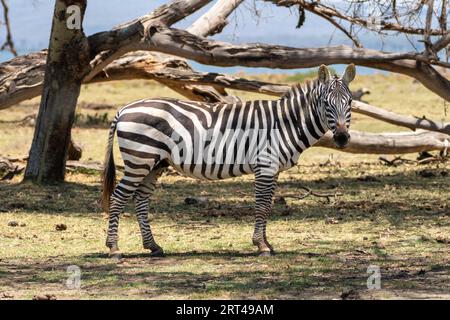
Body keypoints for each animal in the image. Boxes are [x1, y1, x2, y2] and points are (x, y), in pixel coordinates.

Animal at [102, 64, 356, 258]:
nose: (342, 138)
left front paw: (267, 243)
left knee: (141, 198)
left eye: (350, 103)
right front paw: (261, 246)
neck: (286, 123)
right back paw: (114, 248)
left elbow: (268, 205)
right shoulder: (265, 165)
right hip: (140, 159)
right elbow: (262, 205)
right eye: (326, 104)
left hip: (155, 163)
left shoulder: (273, 169)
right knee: (118, 197)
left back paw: (153, 246)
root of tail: (124, 109)